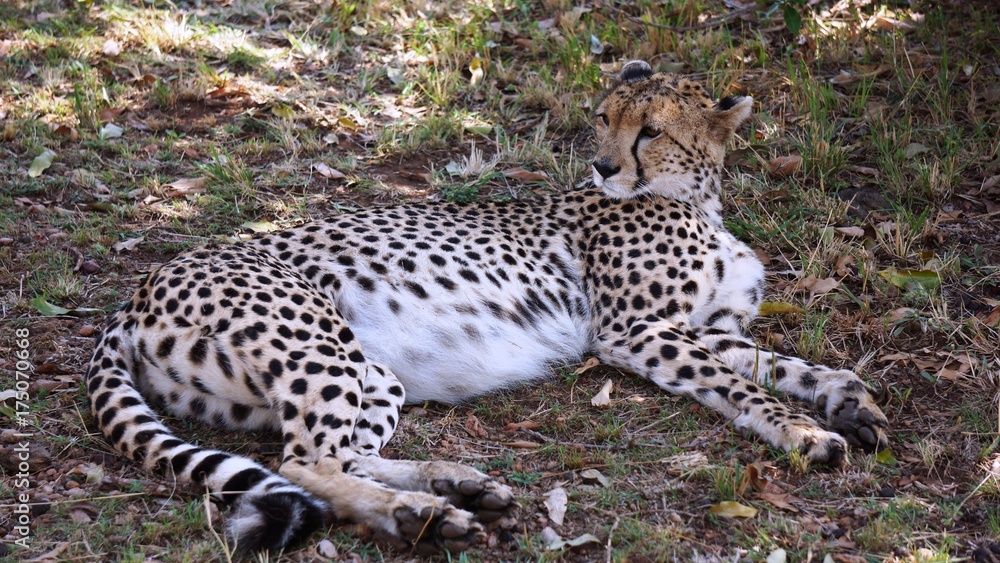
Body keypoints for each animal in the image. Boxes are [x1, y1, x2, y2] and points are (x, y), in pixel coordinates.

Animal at [84, 60, 889, 555]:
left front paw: (851, 403)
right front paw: (804, 434)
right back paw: (422, 514)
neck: (693, 198)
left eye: (651, 130)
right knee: (304, 460)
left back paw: (452, 488)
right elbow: (748, 387)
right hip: (319, 344)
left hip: (369, 370)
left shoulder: (707, 329)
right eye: (604, 117)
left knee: (345, 452)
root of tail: (139, 288)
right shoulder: (635, 331)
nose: (601, 165)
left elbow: (792, 367)